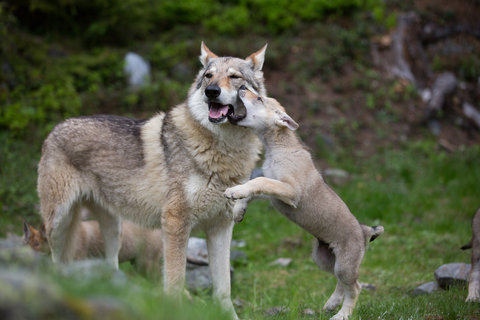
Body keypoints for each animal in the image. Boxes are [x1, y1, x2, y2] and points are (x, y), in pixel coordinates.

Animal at [38, 42, 266, 318]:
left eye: (234, 77)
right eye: (209, 76)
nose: (211, 92)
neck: (224, 151)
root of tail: (55, 128)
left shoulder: (221, 227)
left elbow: (224, 289)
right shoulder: (175, 223)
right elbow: (176, 283)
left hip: (113, 229)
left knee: (110, 266)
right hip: (59, 223)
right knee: (55, 263)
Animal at [223, 86, 384, 318]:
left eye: (260, 98)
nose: (242, 87)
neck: (279, 146)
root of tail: (366, 231)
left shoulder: (290, 191)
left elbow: (257, 182)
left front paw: (233, 191)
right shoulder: (275, 191)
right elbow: (253, 187)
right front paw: (238, 210)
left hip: (345, 263)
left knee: (355, 287)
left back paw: (342, 314)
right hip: (324, 259)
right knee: (344, 283)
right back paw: (332, 303)